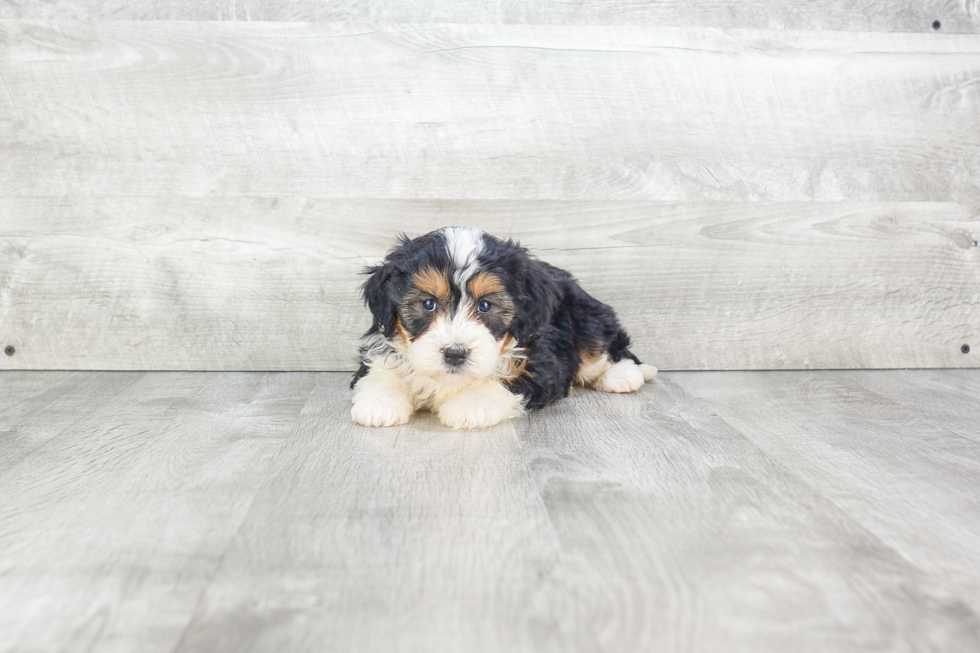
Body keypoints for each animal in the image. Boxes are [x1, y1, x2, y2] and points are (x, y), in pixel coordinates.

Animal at [348, 227, 656, 430]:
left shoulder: (541, 361)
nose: (455, 354)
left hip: (586, 319)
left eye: (485, 306)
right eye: (428, 304)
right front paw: (380, 403)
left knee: (606, 350)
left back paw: (624, 376)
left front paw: (471, 404)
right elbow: (379, 371)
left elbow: (505, 380)